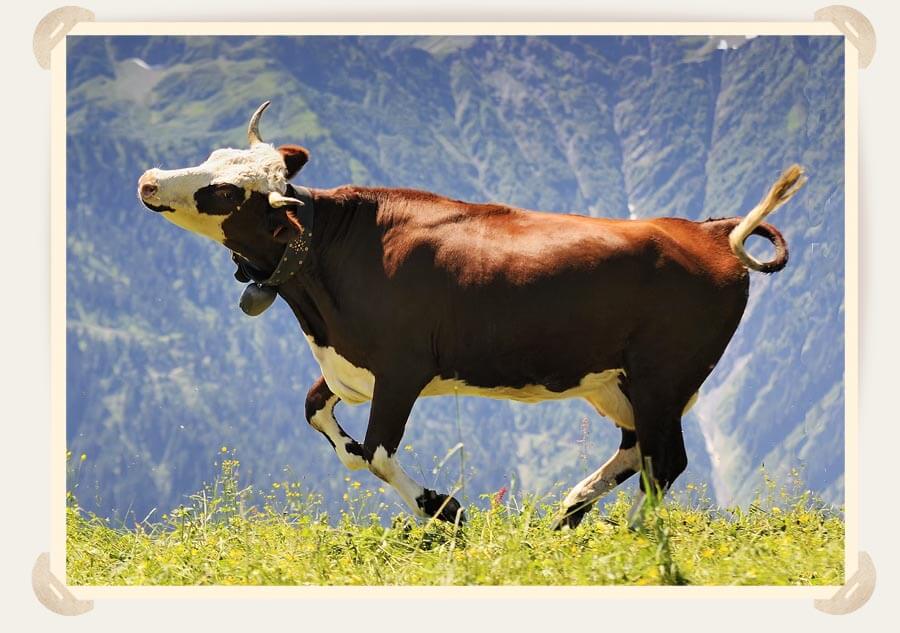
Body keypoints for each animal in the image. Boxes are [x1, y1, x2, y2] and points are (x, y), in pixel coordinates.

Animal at [137, 101, 805, 529]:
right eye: (214, 156)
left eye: (225, 193)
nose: (147, 179)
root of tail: (711, 230)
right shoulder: (348, 368)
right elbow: (325, 424)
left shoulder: (402, 368)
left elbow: (376, 453)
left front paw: (446, 510)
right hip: (617, 382)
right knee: (638, 449)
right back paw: (570, 509)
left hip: (664, 375)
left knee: (665, 460)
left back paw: (638, 533)